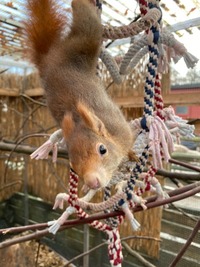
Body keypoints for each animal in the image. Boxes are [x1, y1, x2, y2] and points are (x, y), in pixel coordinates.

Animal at [24, 0, 135, 189]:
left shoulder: (123, 131)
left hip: (85, 40)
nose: (92, 182)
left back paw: (80, 2)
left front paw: (133, 154)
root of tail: (49, 56)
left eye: (102, 149)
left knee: (86, 20)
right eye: (73, 167)